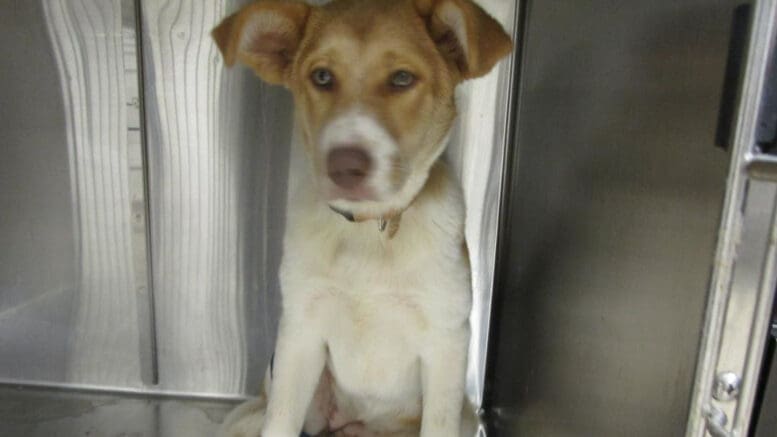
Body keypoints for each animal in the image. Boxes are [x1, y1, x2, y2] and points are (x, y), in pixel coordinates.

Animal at [212, 0, 512, 434]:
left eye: (402, 78)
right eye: (322, 76)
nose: (344, 166)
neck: (371, 230)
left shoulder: (447, 341)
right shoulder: (300, 334)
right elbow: (280, 420)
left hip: (466, 411)